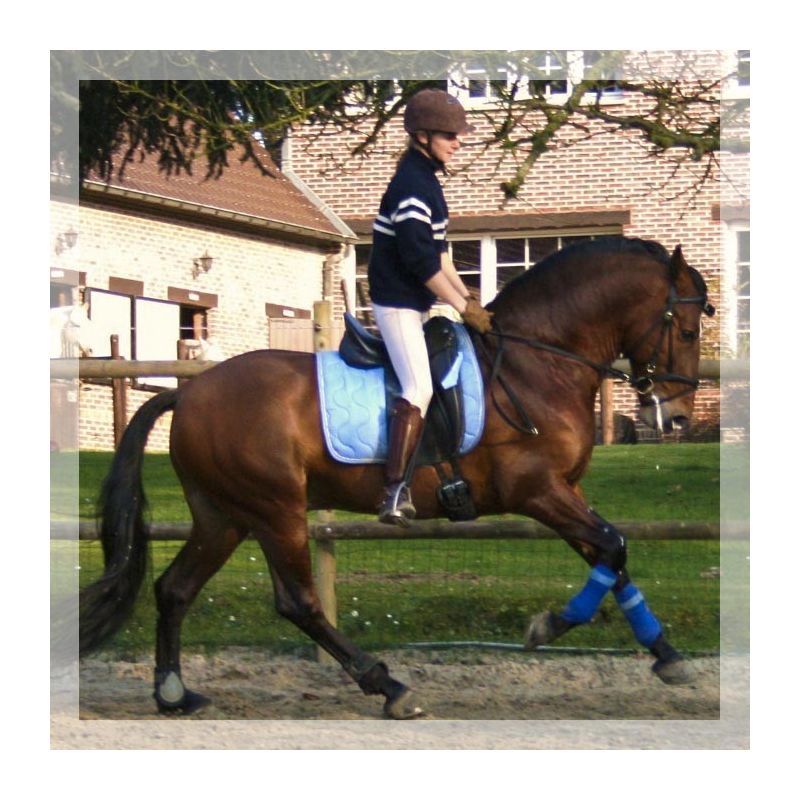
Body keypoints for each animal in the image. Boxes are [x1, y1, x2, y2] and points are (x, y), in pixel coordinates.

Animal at [78, 237, 715, 719]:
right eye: (685, 330)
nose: (679, 417)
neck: (539, 361)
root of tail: (188, 393)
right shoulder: (537, 490)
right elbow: (612, 546)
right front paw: (549, 626)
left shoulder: (567, 491)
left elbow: (612, 555)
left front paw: (665, 654)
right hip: (275, 509)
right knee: (298, 603)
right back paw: (388, 685)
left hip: (226, 516)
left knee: (176, 589)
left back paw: (173, 692)